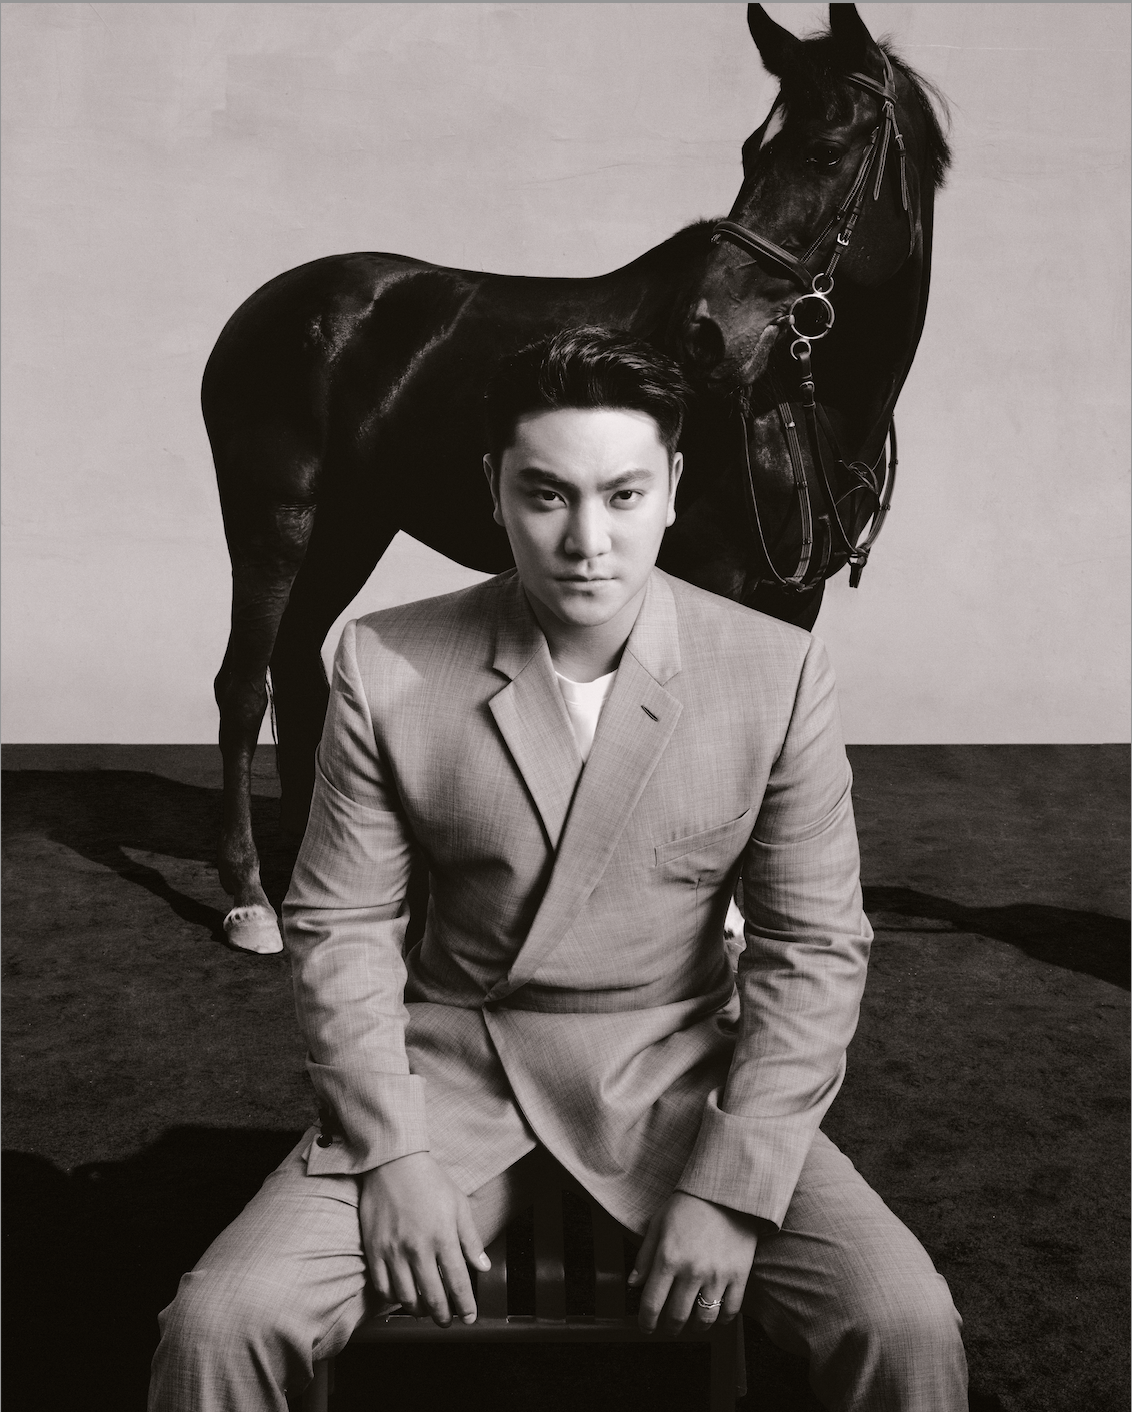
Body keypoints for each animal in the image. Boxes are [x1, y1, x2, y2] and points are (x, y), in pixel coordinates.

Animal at [203, 3, 950, 951]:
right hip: (275, 518)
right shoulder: (709, 572)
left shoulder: (794, 596)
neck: (790, 397)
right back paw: (251, 899)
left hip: (351, 524)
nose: (707, 332)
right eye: (755, 152)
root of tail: (262, 309)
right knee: (243, 684)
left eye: (823, 152)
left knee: (298, 666)